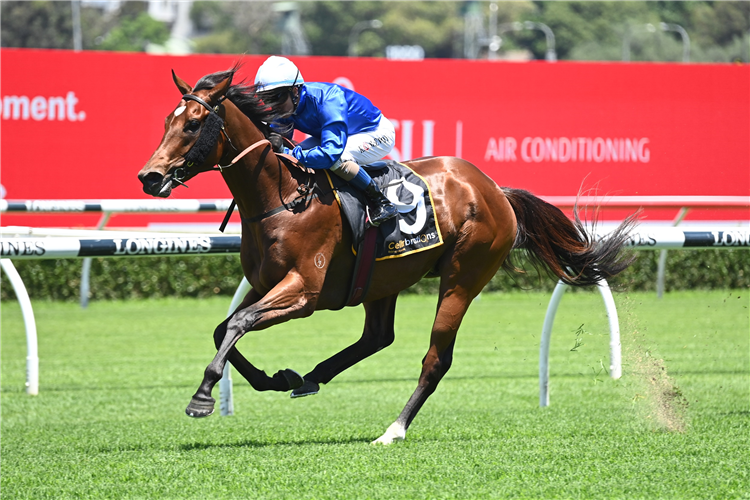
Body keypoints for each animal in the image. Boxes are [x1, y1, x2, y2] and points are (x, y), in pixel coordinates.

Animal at [138, 66, 636, 446]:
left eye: (193, 124)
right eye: (165, 121)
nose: (150, 176)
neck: (280, 197)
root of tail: (495, 189)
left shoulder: (302, 291)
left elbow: (238, 323)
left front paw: (202, 396)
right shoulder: (264, 283)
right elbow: (224, 326)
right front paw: (272, 378)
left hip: (463, 277)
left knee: (435, 360)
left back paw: (393, 430)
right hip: (383, 278)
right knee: (377, 337)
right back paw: (310, 378)